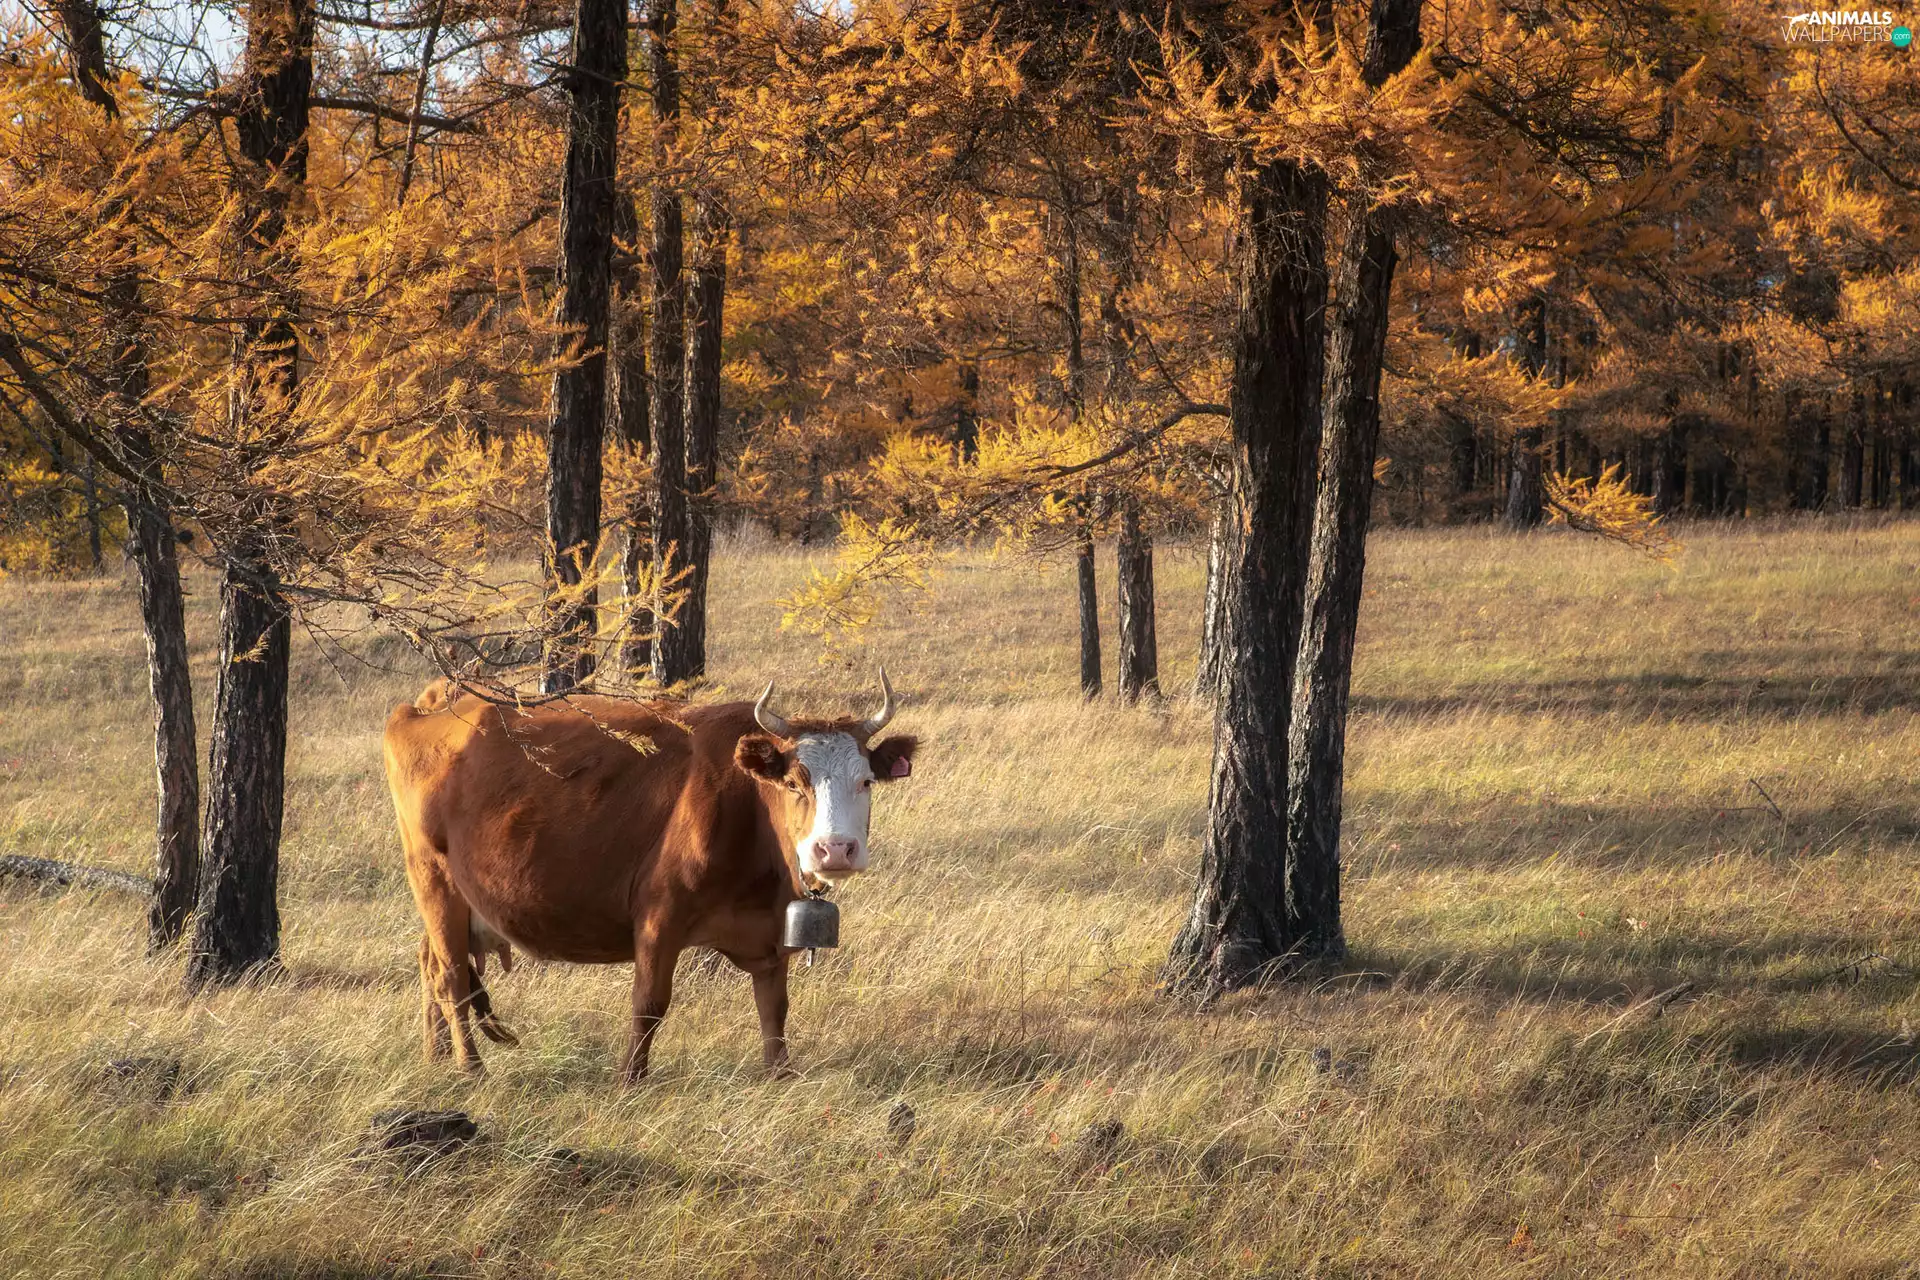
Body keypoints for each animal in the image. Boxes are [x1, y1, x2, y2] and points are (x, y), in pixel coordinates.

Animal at [381, 672, 917, 1081]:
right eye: (792, 783)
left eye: (866, 781)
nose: (836, 849)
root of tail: (437, 700)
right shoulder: (660, 916)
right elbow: (650, 1002)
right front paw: (629, 1080)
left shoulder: (770, 934)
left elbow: (774, 1008)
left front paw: (780, 1075)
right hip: (434, 879)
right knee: (452, 976)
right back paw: (471, 1070)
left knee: (430, 962)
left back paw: (435, 1060)